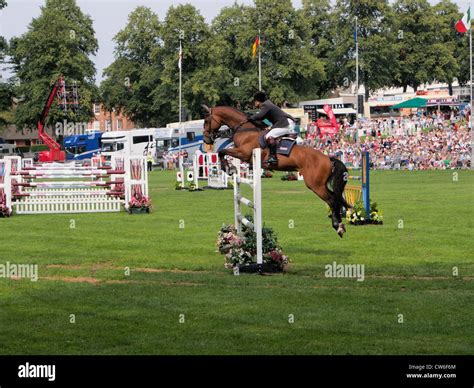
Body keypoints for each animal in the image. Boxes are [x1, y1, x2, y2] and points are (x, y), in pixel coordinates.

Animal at [202, 104, 350, 236]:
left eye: (206, 120)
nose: (206, 139)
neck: (245, 130)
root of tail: (328, 158)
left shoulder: (243, 153)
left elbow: (222, 151)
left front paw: (229, 168)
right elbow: (222, 152)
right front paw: (230, 168)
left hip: (315, 184)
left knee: (331, 200)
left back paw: (338, 226)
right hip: (320, 184)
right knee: (335, 198)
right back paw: (340, 223)